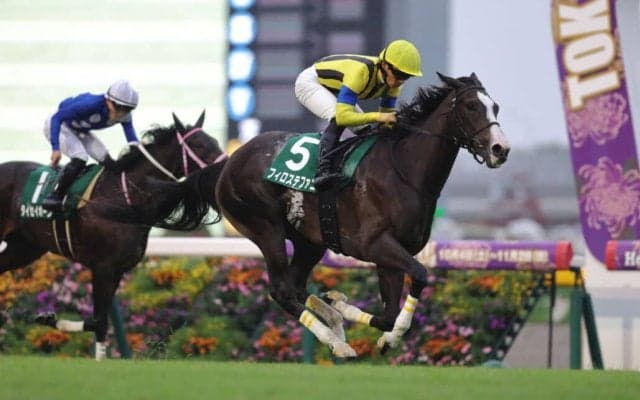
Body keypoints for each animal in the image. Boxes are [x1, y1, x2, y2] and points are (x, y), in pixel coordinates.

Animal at [0, 111, 227, 359]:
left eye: (215, 141)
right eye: (199, 144)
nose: (226, 167)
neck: (123, 198)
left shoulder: (117, 270)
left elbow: (99, 322)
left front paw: (48, 318)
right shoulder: (103, 267)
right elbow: (99, 321)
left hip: (23, 249)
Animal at [212, 73, 510, 357]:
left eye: (495, 107)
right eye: (471, 106)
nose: (501, 149)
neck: (403, 171)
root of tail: (232, 160)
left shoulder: (392, 255)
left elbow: (389, 315)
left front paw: (366, 323)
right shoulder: (376, 245)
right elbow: (420, 275)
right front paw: (365, 321)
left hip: (308, 240)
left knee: (296, 286)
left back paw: (334, 321)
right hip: (266, 229)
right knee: (282, 291)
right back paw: (335, 342)